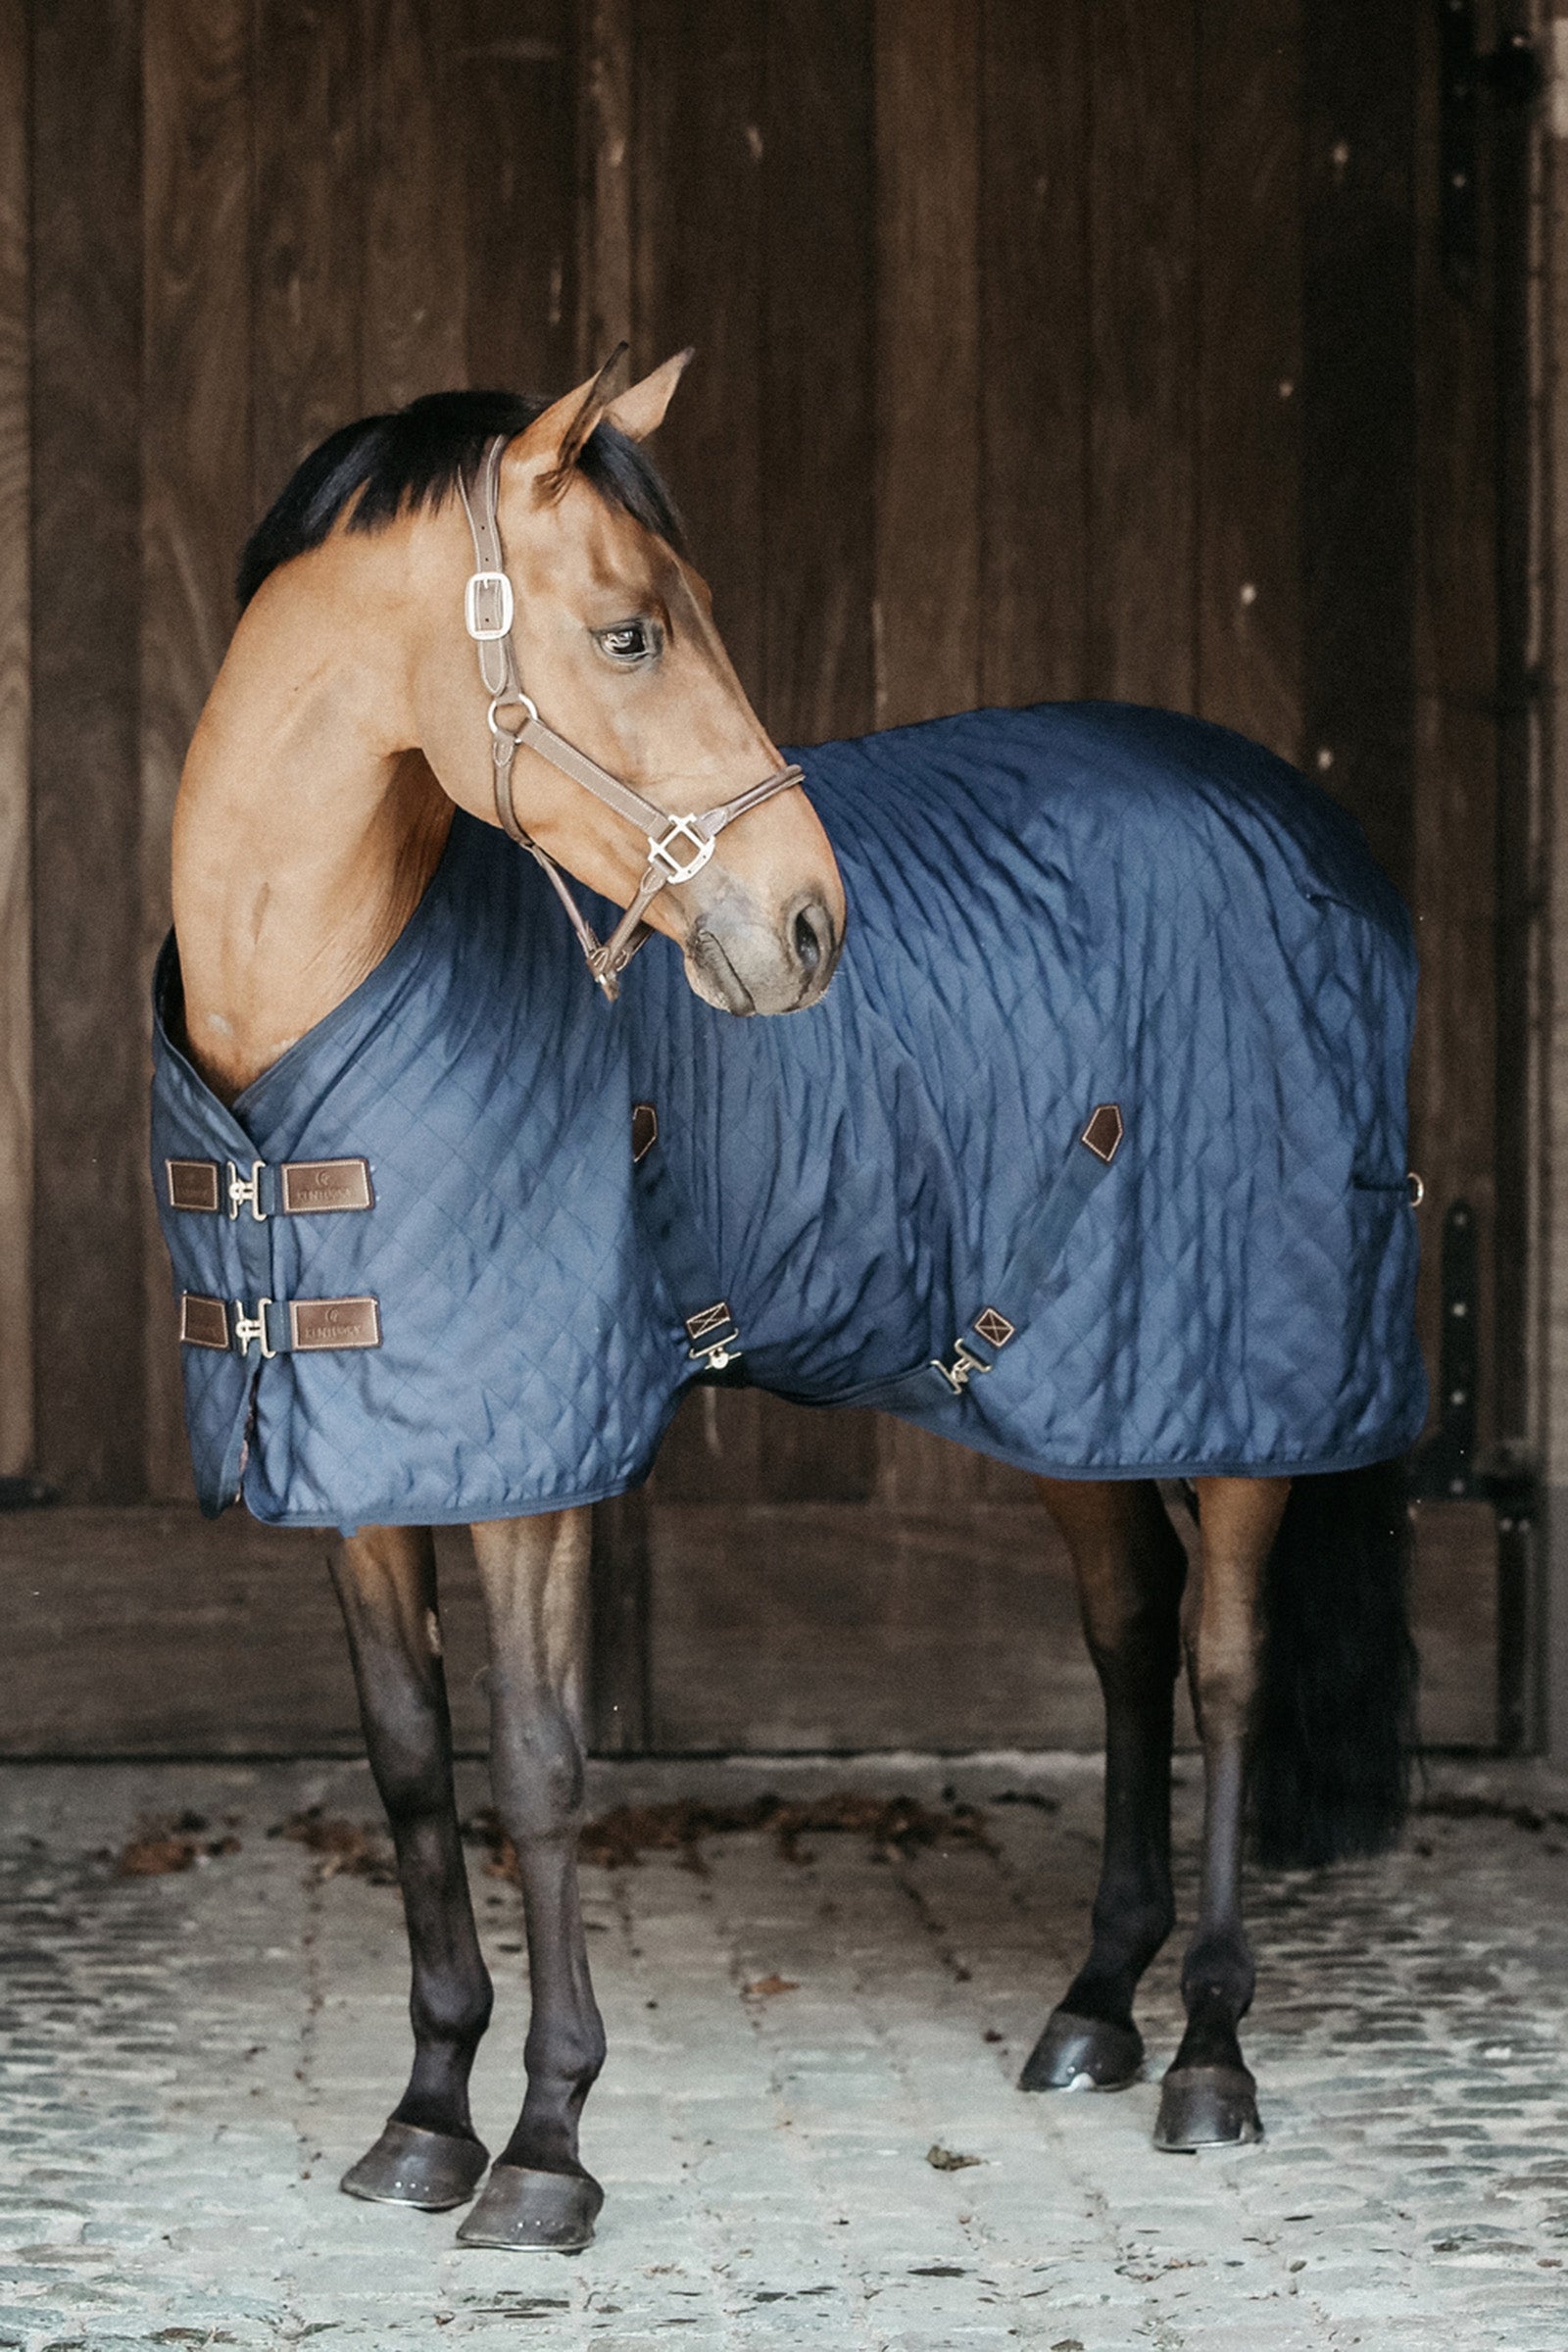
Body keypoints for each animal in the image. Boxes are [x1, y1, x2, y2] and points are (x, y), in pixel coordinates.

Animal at [151, 351, 1424, 2252]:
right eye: (627, 635)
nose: (812, 925)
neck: (291, 1037)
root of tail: (1313, 836)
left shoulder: (538, 1468)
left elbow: (537, 1768)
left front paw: (545, 2149)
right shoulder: (365, 1469)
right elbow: (409, 1767)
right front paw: (426, 2116)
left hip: (1237, 1393)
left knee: (1220, 1671)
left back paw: (1207, 2054)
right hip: (1061, 1379)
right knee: (1127, 1640)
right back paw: (1093, 2012)